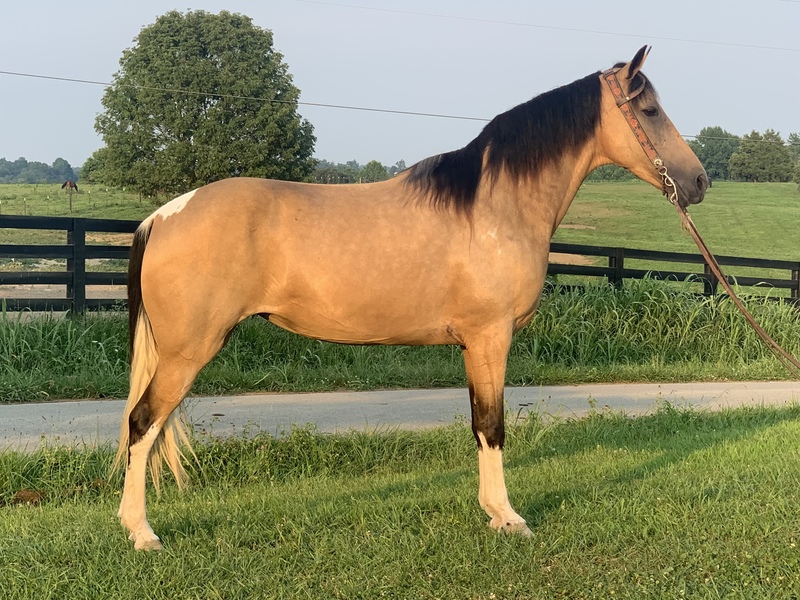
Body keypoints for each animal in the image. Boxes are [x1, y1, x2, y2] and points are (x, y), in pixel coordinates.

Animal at [114, 46, 708, 550]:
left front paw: (492, 512)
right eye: (650, 109)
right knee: (142, 423)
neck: (494, 206)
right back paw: (142, 533)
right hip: (188, 352)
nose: (699, 182)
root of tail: (163, 215)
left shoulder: (473, 346)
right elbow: (493, 425)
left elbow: (478, 424)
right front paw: (508, 518)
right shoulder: (491, 338)